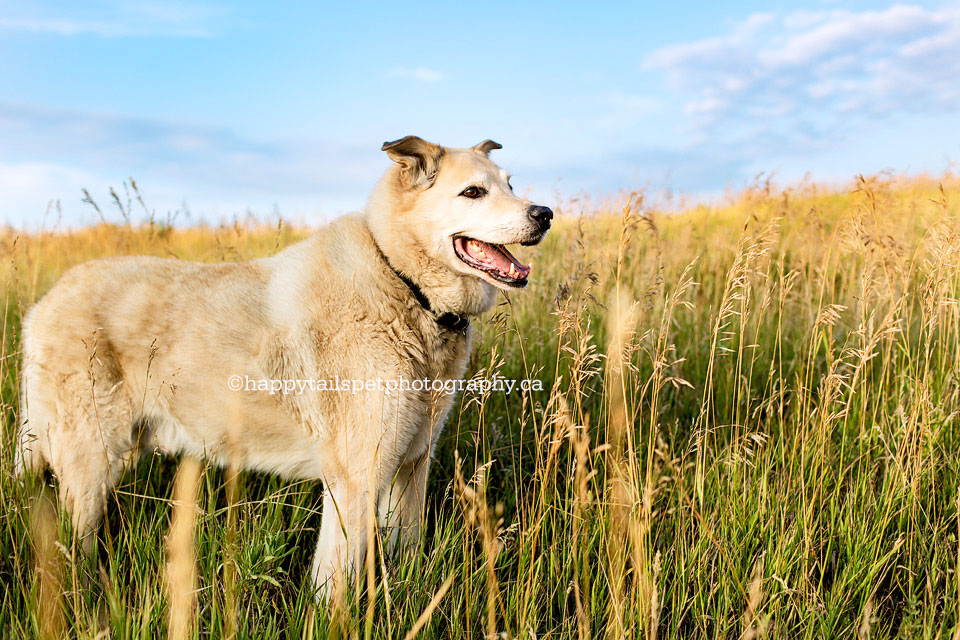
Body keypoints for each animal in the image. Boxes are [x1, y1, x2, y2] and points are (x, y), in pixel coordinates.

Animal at [15, 135, 552, 596]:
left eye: (510, 185)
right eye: (473, 192)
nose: (545, 213)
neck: (404, 284)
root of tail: (46, 301)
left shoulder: (411, 466)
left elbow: (406, 557)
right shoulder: (355, 479)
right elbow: (335, 588)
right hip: (90, 466)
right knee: (70, 550)